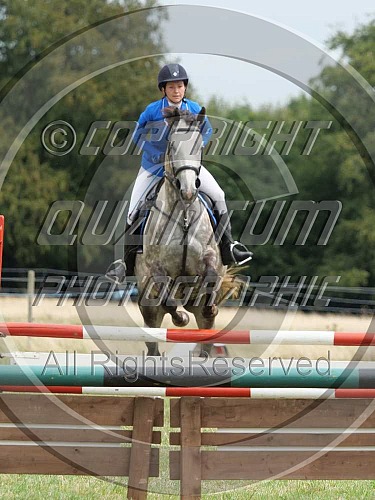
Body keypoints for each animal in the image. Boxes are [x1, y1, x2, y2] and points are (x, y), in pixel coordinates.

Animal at [135, 105, 235, 358]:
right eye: (171, 146)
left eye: (199, 146)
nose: (189, 191)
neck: (184, 215)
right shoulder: (156, 267)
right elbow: (167, 297)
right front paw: (180, 318)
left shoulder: (210, 255)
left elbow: (210, 274)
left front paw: (208, 305)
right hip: (149, 310)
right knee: (153, 340)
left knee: (206, 340)